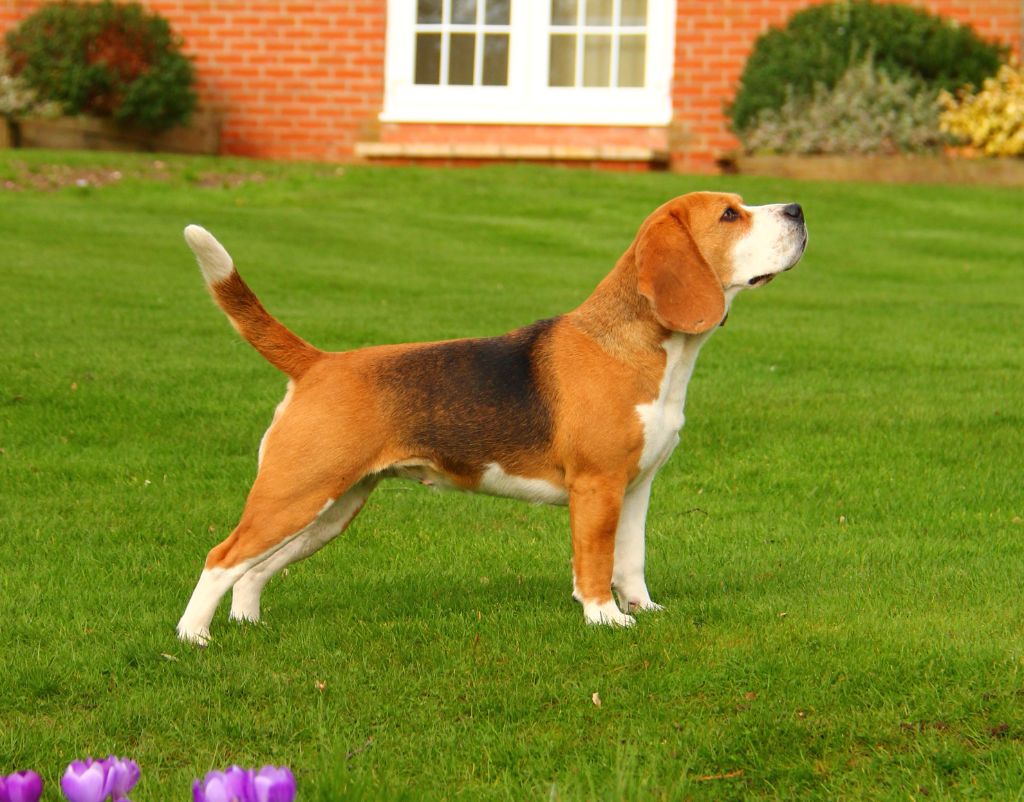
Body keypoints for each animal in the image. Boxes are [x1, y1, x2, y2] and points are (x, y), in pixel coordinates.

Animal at [178, 191, 806, 643]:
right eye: (730, 214)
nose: (798, 210)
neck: (636, 346)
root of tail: (320, 362)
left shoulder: (635, 489)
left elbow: (631, 559)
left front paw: (642, 609)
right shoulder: (597, 487)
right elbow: (595, 562)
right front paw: (605, 618)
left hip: (329, 508)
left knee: (253, 569)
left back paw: (247, 623)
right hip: (296, 494)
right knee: (220, 558)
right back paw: (193, 638)